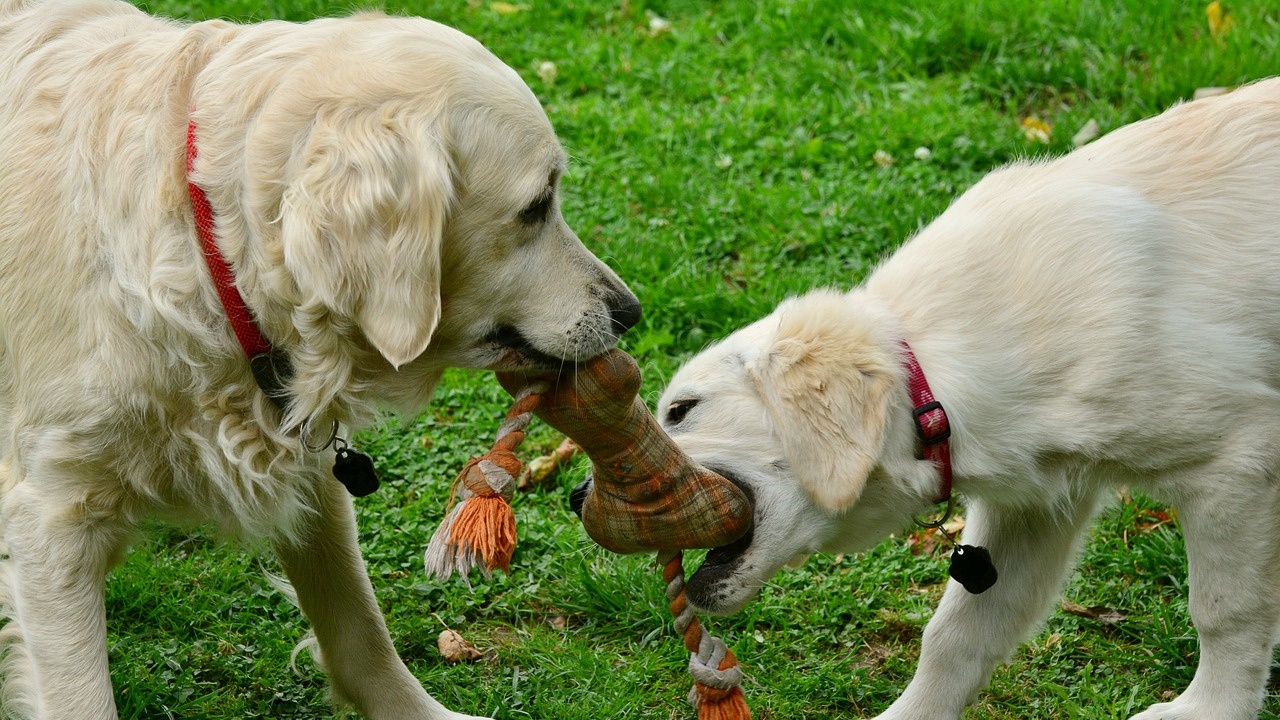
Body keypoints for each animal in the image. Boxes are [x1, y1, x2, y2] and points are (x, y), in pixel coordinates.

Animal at [0, 1, 640, 717]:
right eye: (536, 207)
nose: (630, 311)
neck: (207, 250)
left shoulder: (311, 472)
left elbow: (359, 628)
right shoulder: (52, 518)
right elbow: (81, 695)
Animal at [655, 75, 1280, 712]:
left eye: (682, 410)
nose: (605, 496)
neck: (931, 379)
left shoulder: (1234, 461)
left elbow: (1225, 612)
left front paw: (1212, 710)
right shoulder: (1034, 506)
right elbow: (957, 634)